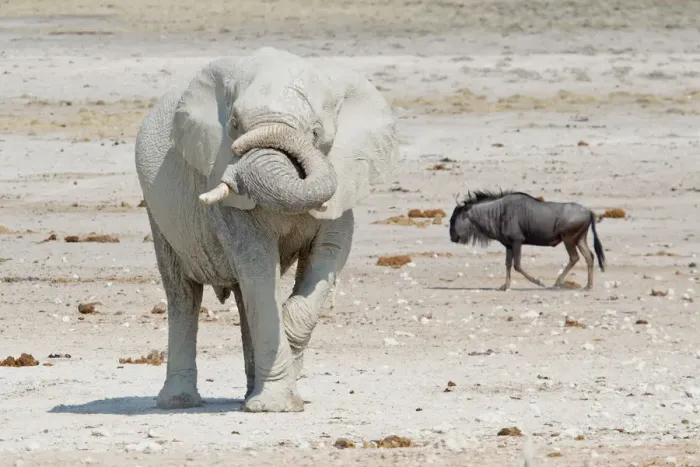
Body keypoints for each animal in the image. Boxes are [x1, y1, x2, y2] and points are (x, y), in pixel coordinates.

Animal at [134, 46, 399, 413]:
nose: (237, 156)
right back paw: (179, 402)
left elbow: (329, 255)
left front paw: (286, 349)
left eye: (316, 133)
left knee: (242, 296)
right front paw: (276, 405)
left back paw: (249, 391)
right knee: (183, 293)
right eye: (233, 125)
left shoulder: (343, 188)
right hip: (158, 214)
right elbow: (258, 263)